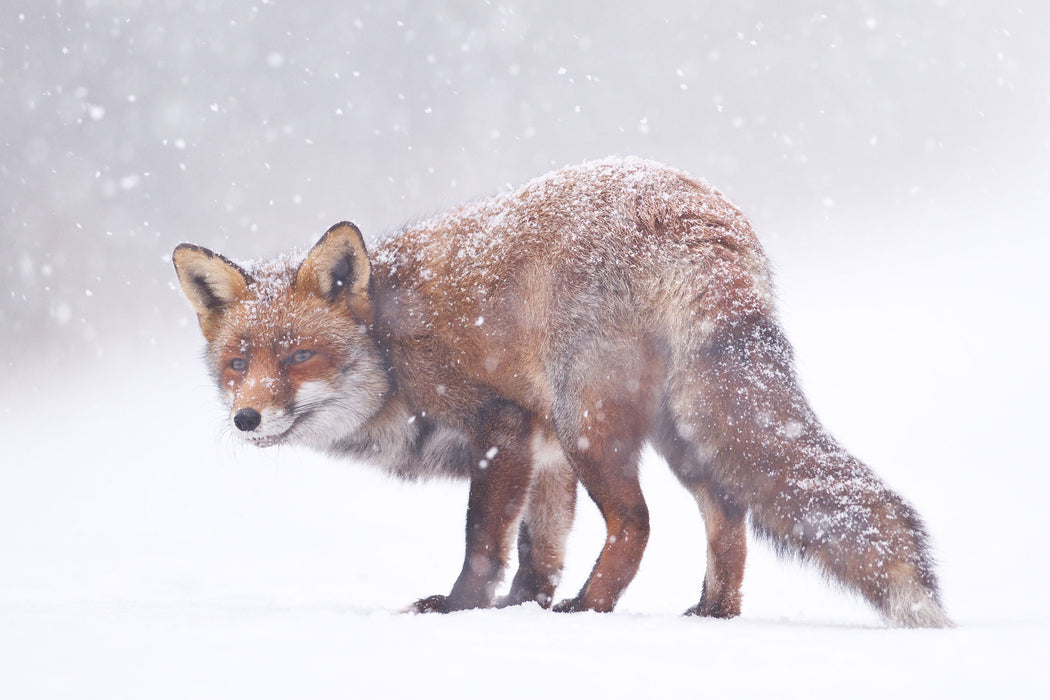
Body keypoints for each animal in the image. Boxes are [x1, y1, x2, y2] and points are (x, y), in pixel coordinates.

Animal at [174, 158, 953, 629]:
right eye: (238, 362)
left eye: (299, 356)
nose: (247, 418)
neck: (391, 346)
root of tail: (695, 212)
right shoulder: (544, 456)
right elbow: (538, 550)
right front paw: (522, 609)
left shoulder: (505, 426)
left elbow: (484, 542)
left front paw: (461, 611)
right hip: (679, 432)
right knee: (728, 517)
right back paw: (710, 614)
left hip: (592, 423)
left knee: (638, 524)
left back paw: (590, 610)